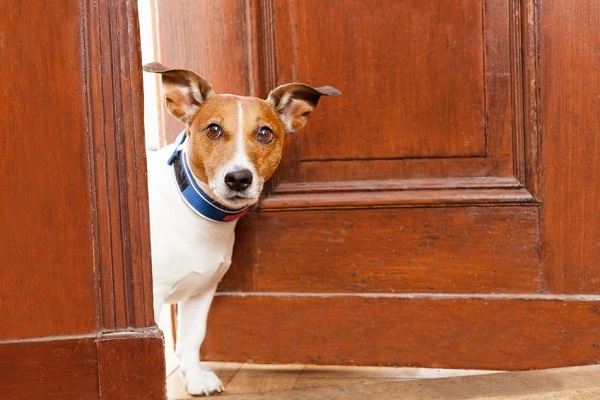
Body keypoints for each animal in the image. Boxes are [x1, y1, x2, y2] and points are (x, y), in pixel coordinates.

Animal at [140, 62, 338, 394]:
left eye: (265, 133)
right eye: (213, 130)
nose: (238, 178)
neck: (196, 211)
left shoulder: (202, 290)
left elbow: (192, 339)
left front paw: (195, 379)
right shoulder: (152, 296)